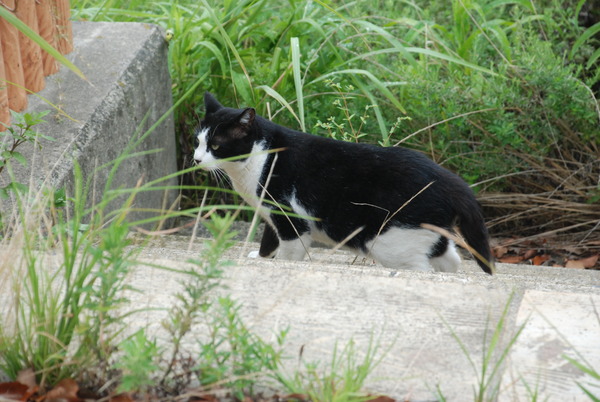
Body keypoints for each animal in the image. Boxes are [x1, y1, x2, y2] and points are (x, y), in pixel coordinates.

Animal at [192, 91, 492, 274]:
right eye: (197, 142)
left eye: (216, 146)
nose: (195, 159)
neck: (259, 157)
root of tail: (449, 179)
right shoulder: (272, 215)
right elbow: (269, 239)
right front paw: (263, 257)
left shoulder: (288, 214)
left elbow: (290, 249)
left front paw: (282, 263)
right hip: (428, 233)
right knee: (451, 259)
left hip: (392, 241)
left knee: (421, 267)